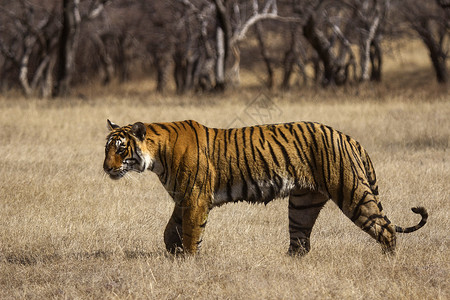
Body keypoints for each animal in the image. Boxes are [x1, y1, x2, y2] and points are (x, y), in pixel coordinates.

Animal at [103, 119, 428, 255]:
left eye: (120, 149)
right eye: (106, 149)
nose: (106, 168)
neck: (156, 157)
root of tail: (348, 137)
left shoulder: (194, 198)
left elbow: (192, 232)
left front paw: (188, 263)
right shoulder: (182, 198)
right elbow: (170, 231)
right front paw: (173, 255)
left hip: (351, 193)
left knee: (385, 228)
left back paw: (389, 263)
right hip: (303, 202)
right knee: (300, 241)